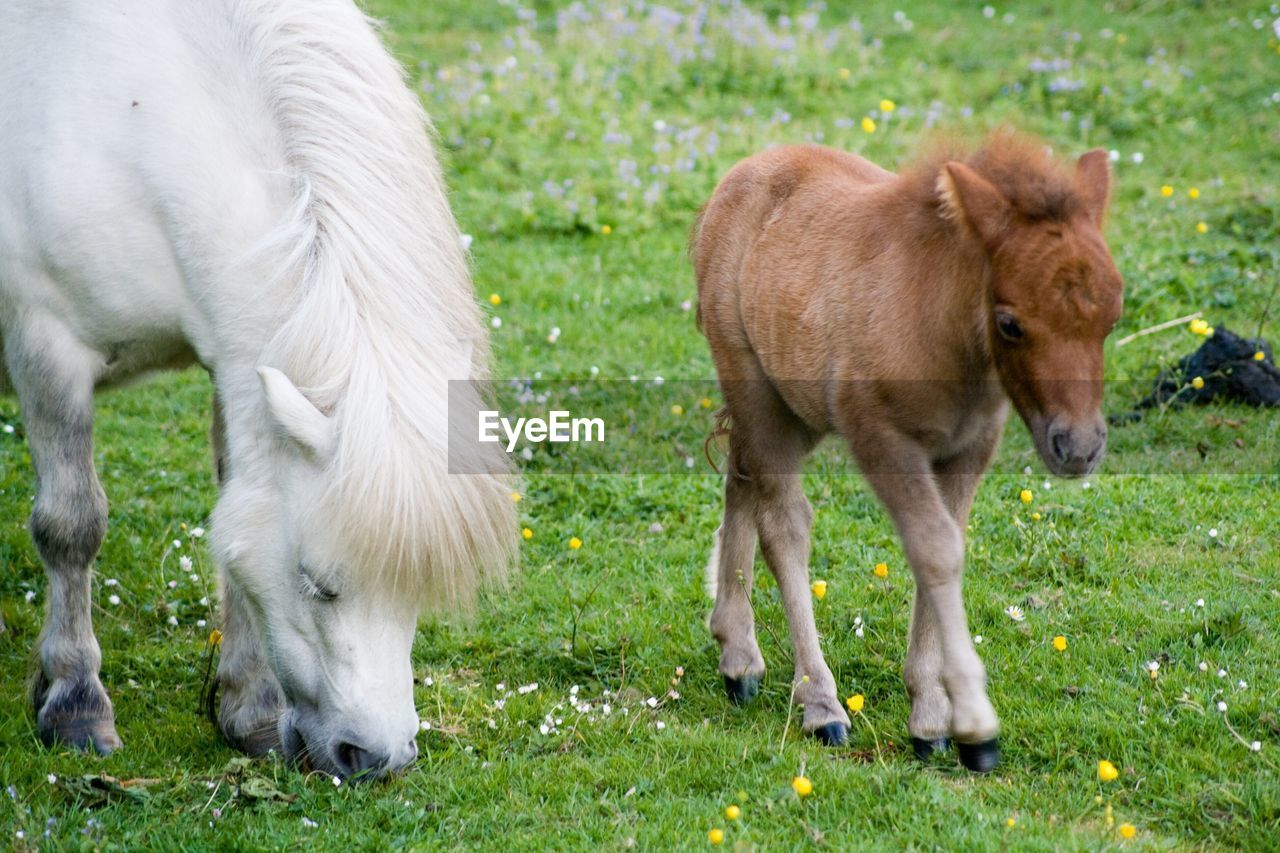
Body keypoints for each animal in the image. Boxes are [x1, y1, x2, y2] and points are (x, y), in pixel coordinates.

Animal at [1, 0, 509, 778]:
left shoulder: (234, 363)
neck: (125, 109)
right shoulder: (45, 347)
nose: (377, 758)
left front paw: (251, 712)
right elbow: (70, 525)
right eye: (318, 584)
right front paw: (74, 702)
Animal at [696, 133, 1126, 768]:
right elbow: (935, 550)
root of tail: (742, 174)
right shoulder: (881, 437)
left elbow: (944, 550)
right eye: (1010, 323)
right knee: (785, 522)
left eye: (1113, 316)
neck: (942, 334)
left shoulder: (969, 450)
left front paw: (929, 714)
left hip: (793, 406)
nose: (1078, 447)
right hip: (754, 386)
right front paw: (973, 725)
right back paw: (819, 702)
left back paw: (738, 654)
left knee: (742, 478)